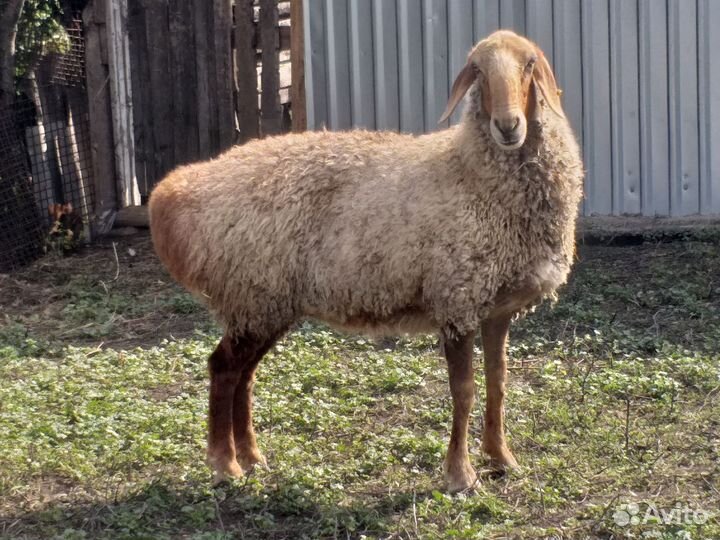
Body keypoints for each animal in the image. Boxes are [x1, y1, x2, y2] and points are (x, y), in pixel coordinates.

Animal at [149, 30, 584, 492]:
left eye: (530, 64)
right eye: (478, 70)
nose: (507, 126)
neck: (470, 174)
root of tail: (174, 193)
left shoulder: (498, 307)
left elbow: (498, 382)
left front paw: (502, 458)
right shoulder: (457, 299)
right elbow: (463, 390)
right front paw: (460, 474)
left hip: (264, 302)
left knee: (242, 375)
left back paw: (251, 457)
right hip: (253, 294)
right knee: (222, 369)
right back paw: (224, 464)